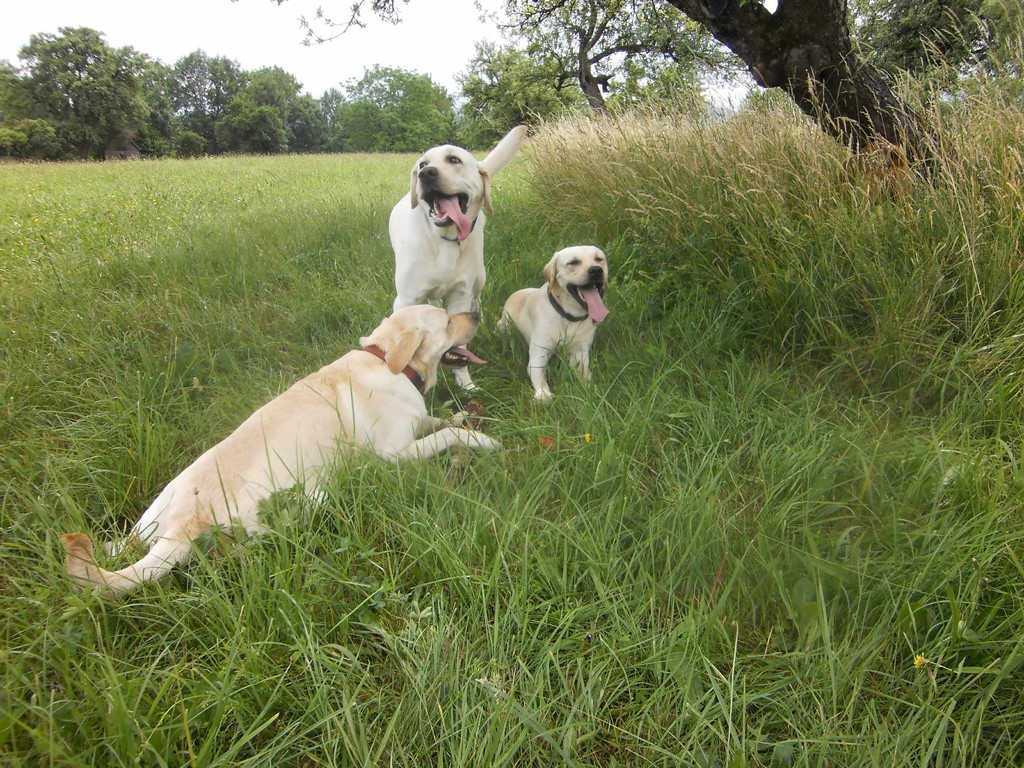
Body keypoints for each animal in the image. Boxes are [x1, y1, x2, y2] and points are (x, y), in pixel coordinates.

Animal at [59, 307, 499, 602]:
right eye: (446, 321)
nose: (476, 312)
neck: (388, 361)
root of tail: (185, 523)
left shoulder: (415, 425)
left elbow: (438, 419)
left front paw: (462, 414)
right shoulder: (394, 455)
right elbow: (448, 435)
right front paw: (482, 439)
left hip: (151, 517)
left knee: (121, 546)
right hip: (294, 503)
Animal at [385, 128, 524, 391]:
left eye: (454, 160)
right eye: (422, 164)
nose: (426, 174)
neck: (444, 239)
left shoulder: (460, 295)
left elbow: (459, 343)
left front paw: (465, 384)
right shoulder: (406, 299)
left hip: (479, 278)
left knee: (476, 299)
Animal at [501, 246, 606, 403]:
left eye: (599, 259)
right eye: (573, 262)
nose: (596, 270)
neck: (569, 317)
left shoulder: (580, 353)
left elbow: (585, 373)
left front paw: (591, 388)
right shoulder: (539, 354)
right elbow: (540, 377)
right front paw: (543, 394)